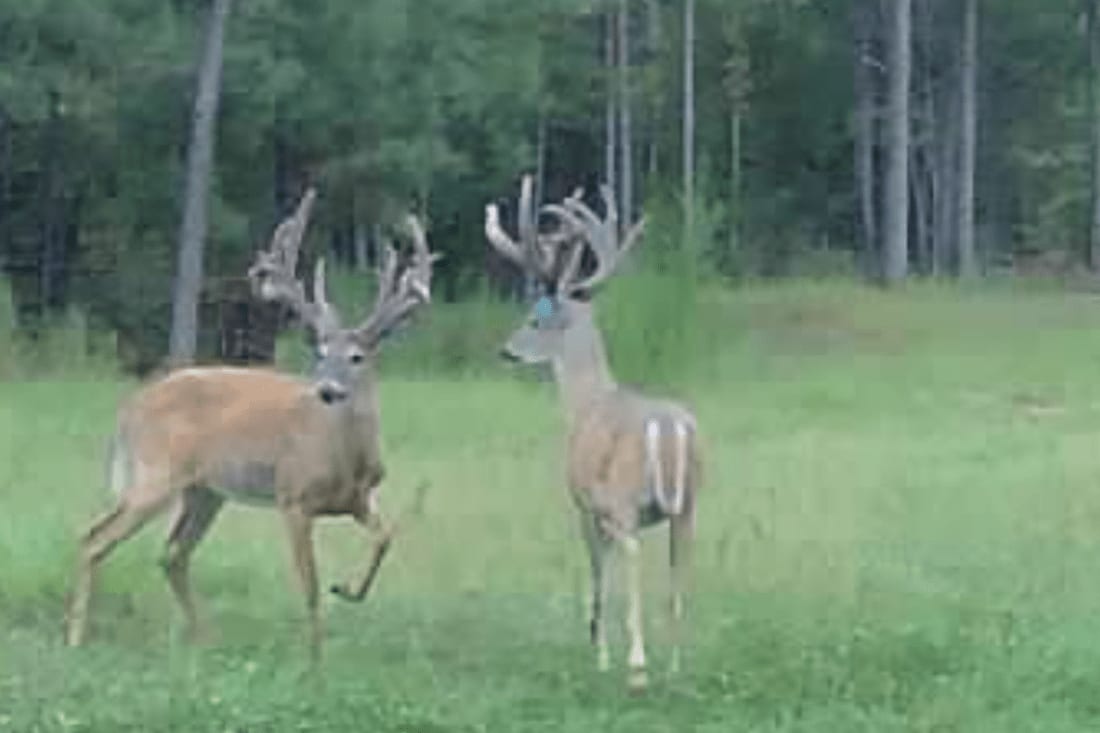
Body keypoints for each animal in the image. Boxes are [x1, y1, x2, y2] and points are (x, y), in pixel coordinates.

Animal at [64, 188, 439, 662]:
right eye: (320, 352)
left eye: (357, 356)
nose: (327, 390)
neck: (346, 459)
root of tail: (129, 408)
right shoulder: (293, 497)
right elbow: (310, 586)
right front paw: (315, 658)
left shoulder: (359, 498)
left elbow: (385, 538)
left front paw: (348, 590)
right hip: (157, 473)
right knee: (95, 537)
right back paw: (76, 637)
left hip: (205, 491)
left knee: (172, 554)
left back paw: (204, 638)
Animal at [485, 176, 702, 691]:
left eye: (534, 319)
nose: (506, 351)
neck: (584, 404)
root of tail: (667, 428)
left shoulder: (583, 503)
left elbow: (597, 571)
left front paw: (598, 651)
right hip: (689, 505)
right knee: (678, 569)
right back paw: (675, 662)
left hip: (625, 499)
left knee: (632, 554)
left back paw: (638, 664)